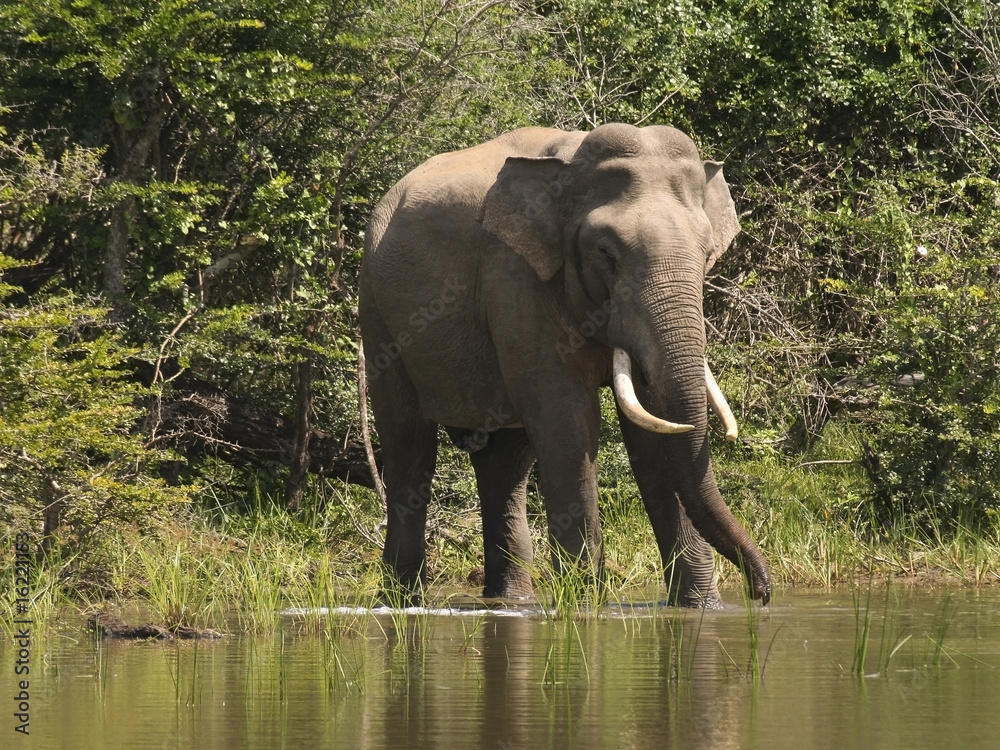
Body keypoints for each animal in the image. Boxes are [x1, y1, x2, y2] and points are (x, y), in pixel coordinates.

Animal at [359, 123, 771, 607]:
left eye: (708, 254)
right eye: (606, 253)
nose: (761, 592)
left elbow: (652, 431)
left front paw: (700, 610)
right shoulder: (516, 278)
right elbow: (568, 424)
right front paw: (585, 607)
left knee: (504, 465)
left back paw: (511, 603)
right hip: (376, 309)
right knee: (409, 448)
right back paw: (402, 601)